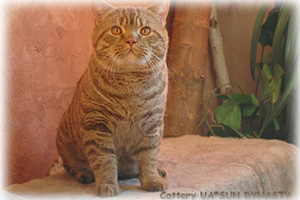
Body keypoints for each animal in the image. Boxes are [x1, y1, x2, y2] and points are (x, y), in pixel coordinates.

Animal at [55, 0, 170, 197]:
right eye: (116, 30)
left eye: (145, 30)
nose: (131, 40)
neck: (131, 86)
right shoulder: (97, 125)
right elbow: (105, 160)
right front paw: (107, 184)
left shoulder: (152, 124)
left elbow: (149, 156)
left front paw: (152, 179)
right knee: (71, 165)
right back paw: (83, 172)